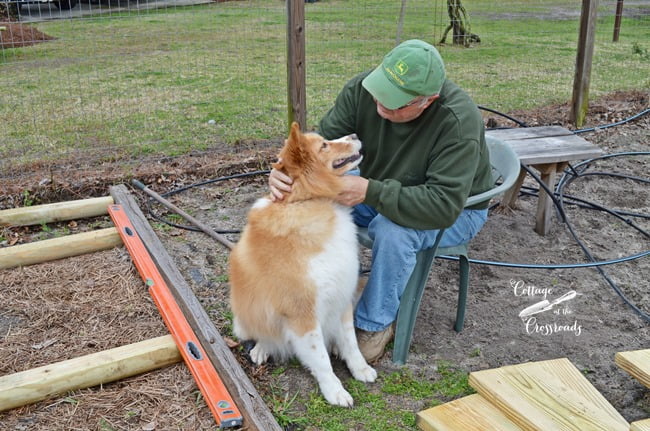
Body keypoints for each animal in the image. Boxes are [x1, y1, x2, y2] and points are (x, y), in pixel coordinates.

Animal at [230, 122, 378, 408]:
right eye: (324, 146)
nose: (355, 135)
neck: (308, 201)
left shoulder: (342, 294)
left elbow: (351, 341)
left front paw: (360, 368)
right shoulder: (302, 312)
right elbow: (320, 359)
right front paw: (335, 391)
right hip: (244, 315)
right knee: (264, 334)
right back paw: (263, 348)